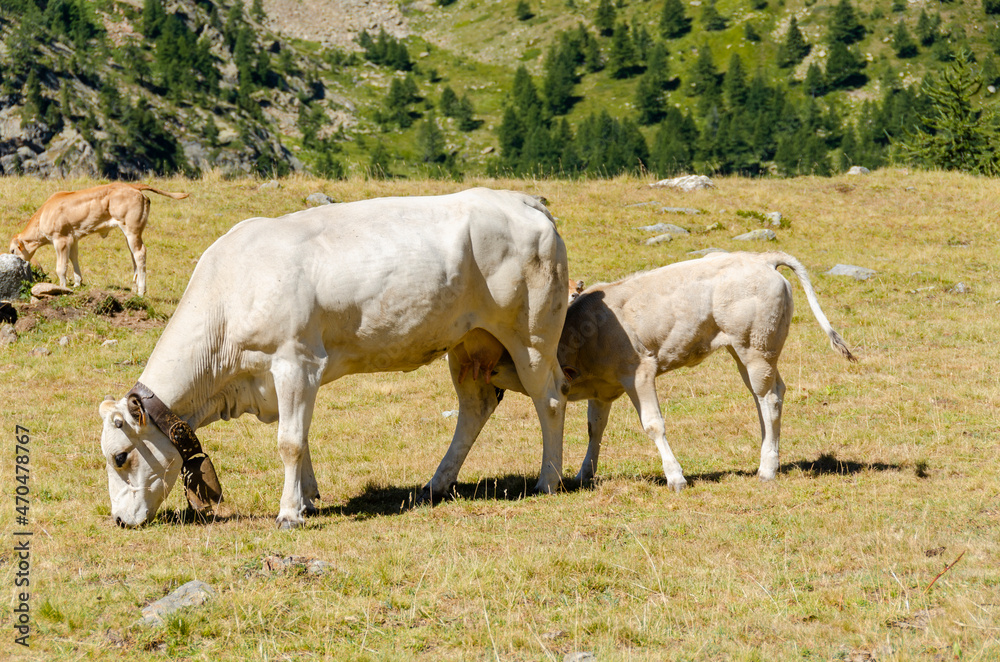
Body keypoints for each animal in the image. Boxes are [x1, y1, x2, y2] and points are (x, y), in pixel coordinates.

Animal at [10, 182, 188, 296]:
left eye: (12, 250)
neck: (44, 215)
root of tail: (133, 186)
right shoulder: (73, 238)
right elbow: (74, 259)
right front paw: (77, 283)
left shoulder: (60, 239)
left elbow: (61, 267)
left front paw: (62, 287)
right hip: (131, 233)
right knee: (134, 256)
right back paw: (134, 287)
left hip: (132, 229)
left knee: (140, 254)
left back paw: (141, 291)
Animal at [102, 188, 576, 528]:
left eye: (120, 457)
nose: (120, 520)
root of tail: (525, 200)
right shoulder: (283, 377)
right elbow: (303, 435)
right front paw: (308, 500)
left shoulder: (295, 361)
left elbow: (290, 442)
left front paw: (288, 514)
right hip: (469, 344)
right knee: (475, 406)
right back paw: (436, 485)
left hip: (532, 335)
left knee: (551, 399)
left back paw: (547, 480)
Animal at [488, 254, 856, 492]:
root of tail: (761, 259)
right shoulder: (603, 387)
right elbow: (595, 428)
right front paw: (584, 474)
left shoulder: (639, 372)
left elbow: (653, 424)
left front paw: (675, 477)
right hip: (744, 352)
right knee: (762, 398)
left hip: (756, 348)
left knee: (771, 397)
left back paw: (767, 467)